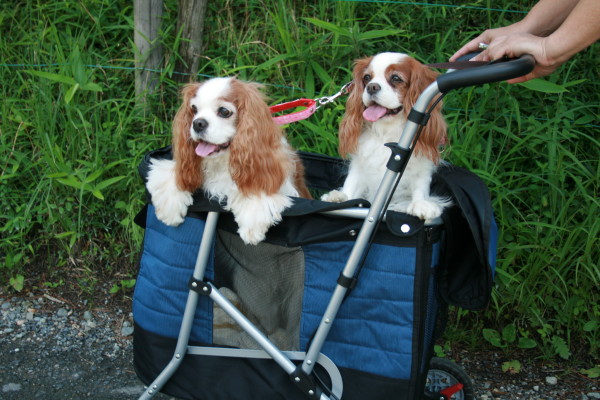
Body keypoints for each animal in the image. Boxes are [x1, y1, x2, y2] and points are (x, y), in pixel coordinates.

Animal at [148, 75, 312, 244]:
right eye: (194, 109)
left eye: (224, 111)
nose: (198, 123)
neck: (223, 161)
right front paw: (169, 209)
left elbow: (256, 189)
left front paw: (252, 224)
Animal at [324, 51, 450, 220]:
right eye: (367, 78)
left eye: (396, 78)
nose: (371, 87)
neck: (386, 132)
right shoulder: (361, 164)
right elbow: (352, 181)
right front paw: (342, 198)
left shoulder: (421, 163)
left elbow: (420, 183)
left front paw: (420, 204)